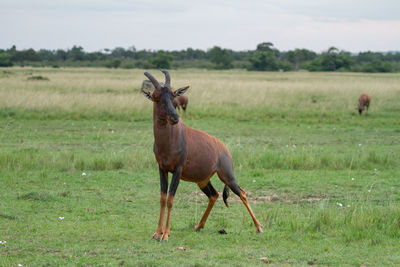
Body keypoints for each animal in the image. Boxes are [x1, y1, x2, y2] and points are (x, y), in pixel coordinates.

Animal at [141, 70, 262, 242]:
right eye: (156, 97)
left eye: (173, 94)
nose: (175, 118)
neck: (170, 138)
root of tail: (224, 148)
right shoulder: (162, 169)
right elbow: (163, 198)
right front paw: (157, 233)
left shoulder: (177, 170)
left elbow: (170, 199)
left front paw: (165, 235)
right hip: (202, 180)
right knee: (214, 195)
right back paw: (198, 226)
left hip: (227, 176)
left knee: (242, 193)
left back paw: (259, 227)